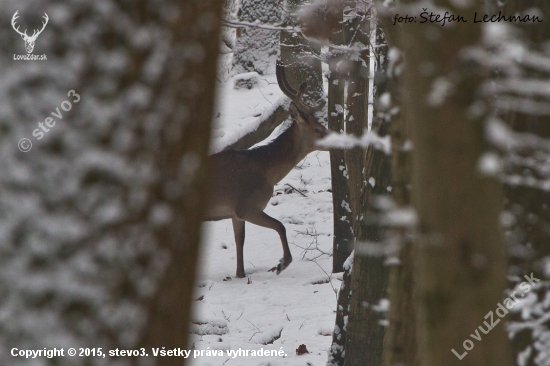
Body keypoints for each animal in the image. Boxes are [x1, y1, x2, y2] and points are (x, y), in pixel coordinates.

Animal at [206, 60, 328, 278]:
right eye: (318, 129)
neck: (267, 172)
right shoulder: (248, 205)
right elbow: (280, 225)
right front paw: (283, 263)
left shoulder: (235, 212)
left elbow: (240, 241)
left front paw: (240, 274)